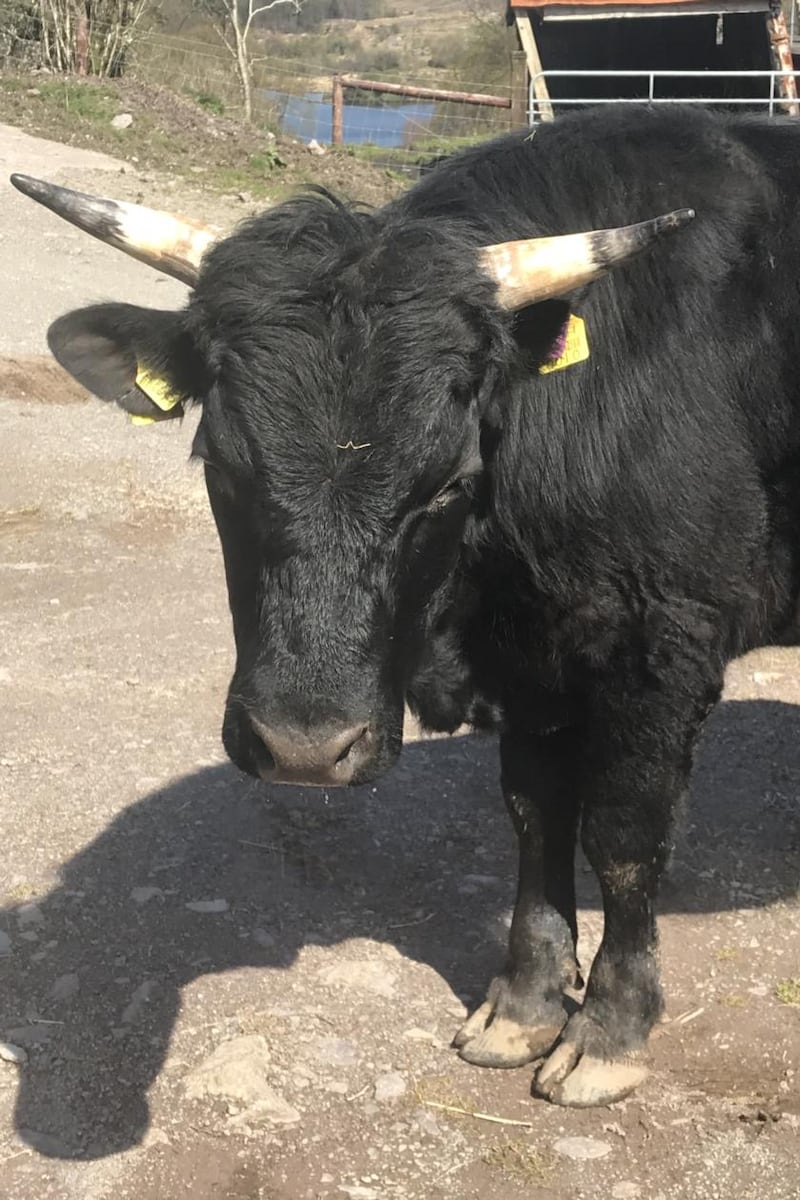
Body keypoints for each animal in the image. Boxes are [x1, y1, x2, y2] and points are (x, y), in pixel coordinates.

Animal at [12, 103, 800, 1109]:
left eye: (449, 482)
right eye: (218, 465)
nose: (303, 749)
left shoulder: (664, 641)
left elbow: (624, 835)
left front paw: (610, 1032)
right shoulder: (535, 661)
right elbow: (537, 814)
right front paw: (524, 1006)